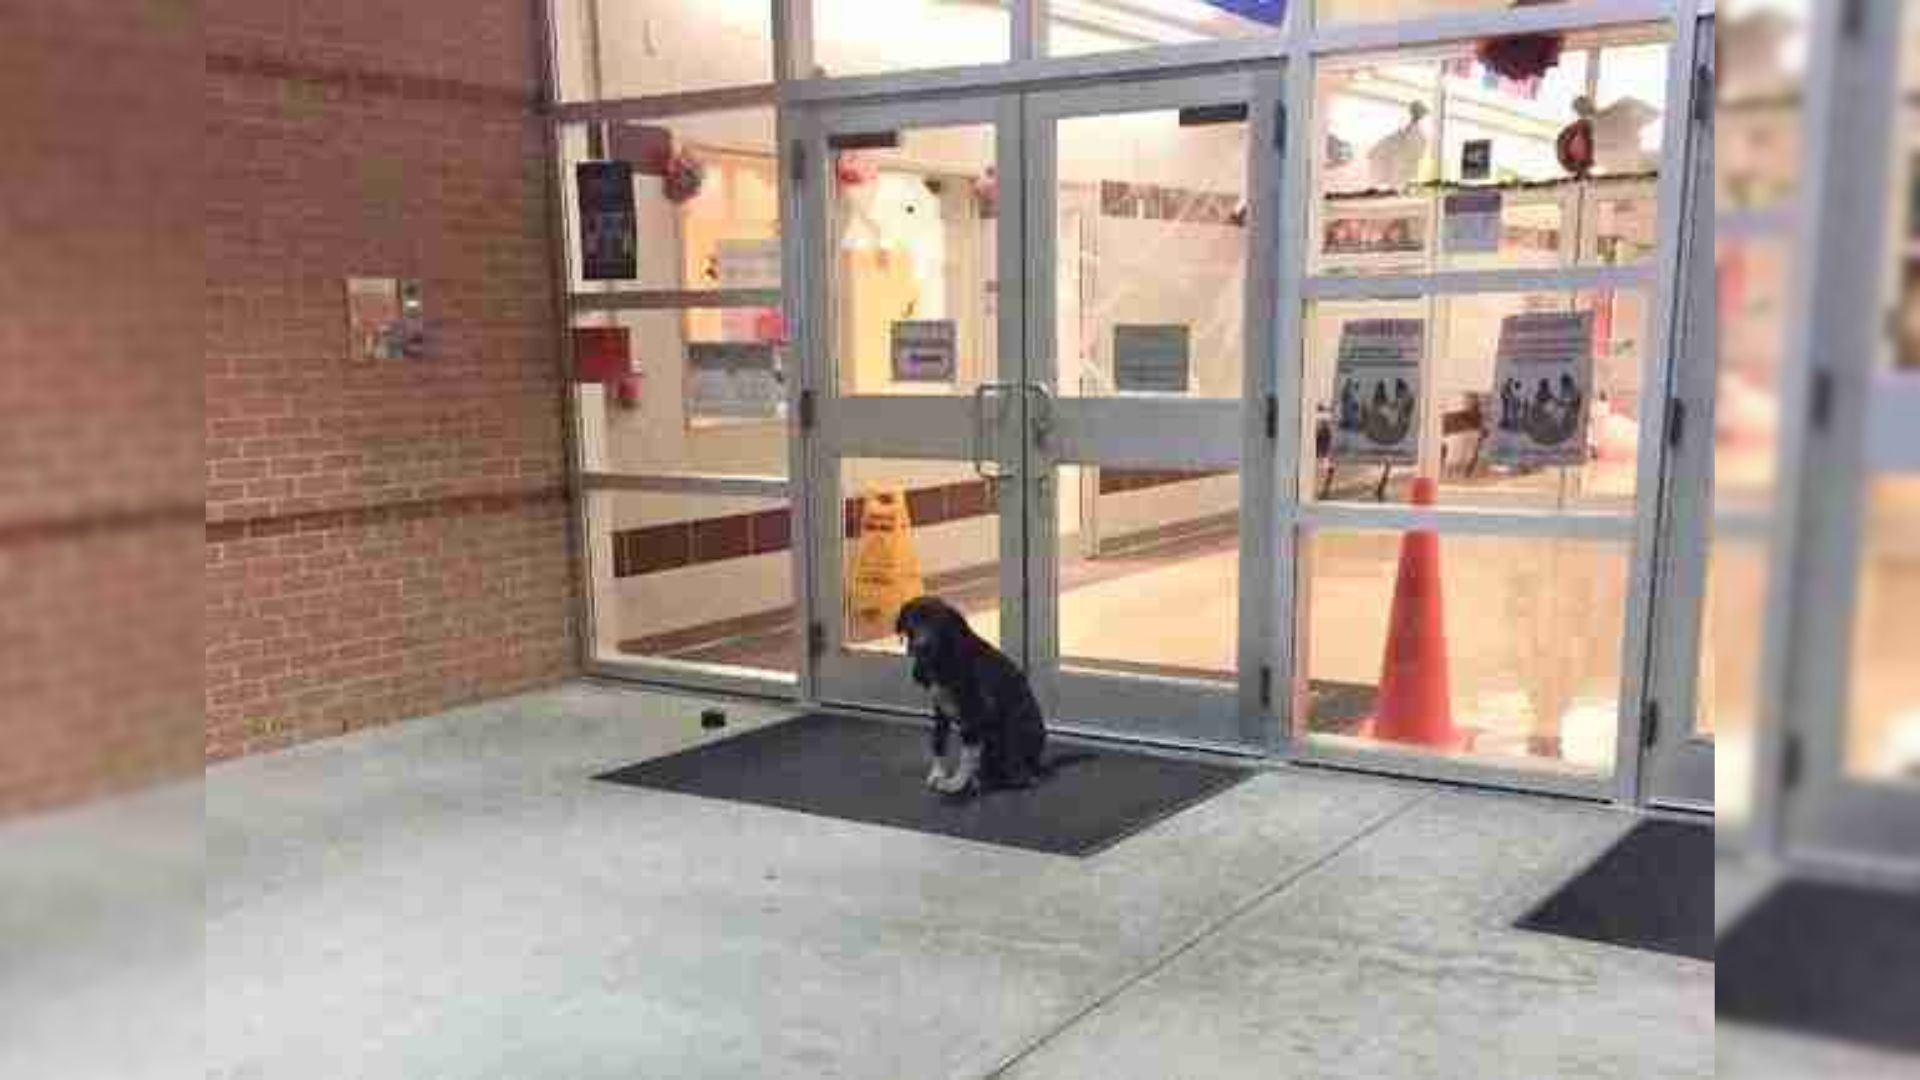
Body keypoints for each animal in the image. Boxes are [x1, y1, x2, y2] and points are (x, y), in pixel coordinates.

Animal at [898, 591, 1052, 795]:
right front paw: (938, 774)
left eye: (938, 623)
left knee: (1020, 775)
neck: (943, 657)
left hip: (1012, 730)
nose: (921, 646)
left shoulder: (975, 712)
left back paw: (989, 780)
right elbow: (938, 742)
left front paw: (956, 783)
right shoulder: (939, 710)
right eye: (913, 620)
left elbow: (967, 755)